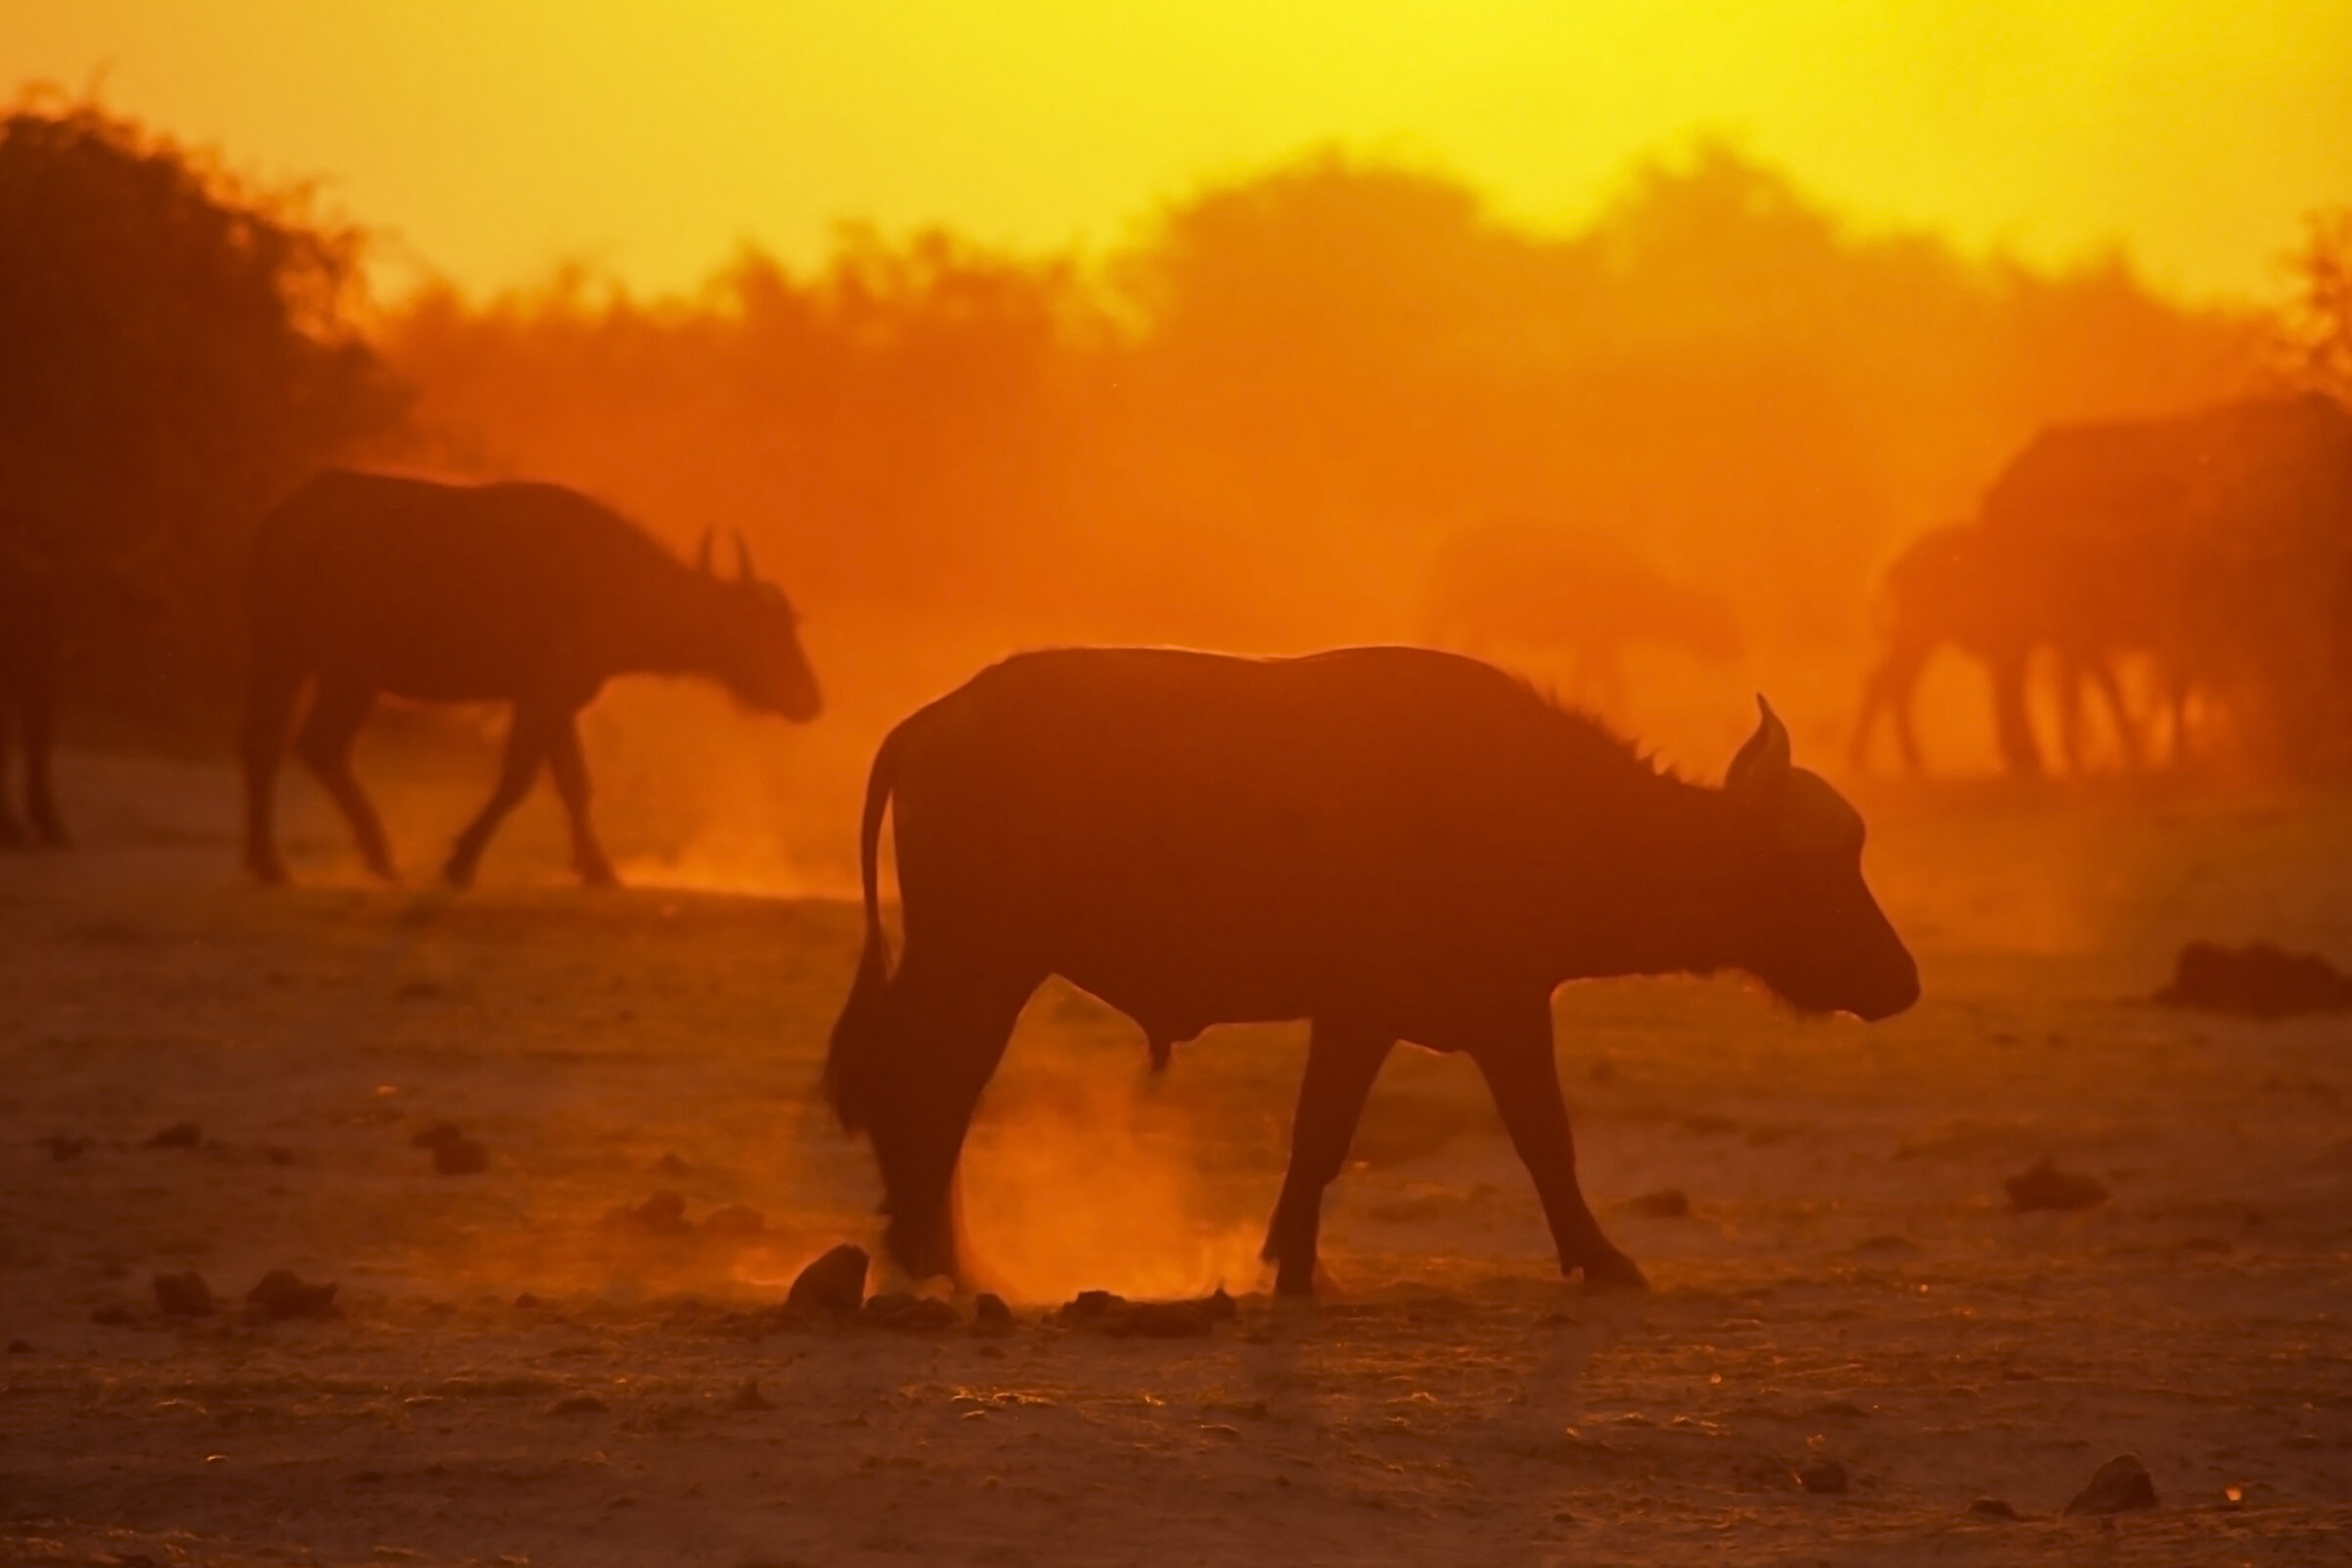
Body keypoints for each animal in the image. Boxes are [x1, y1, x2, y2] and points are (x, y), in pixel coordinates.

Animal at [241, 469, 820, 887]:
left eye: (791, 624)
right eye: (762, 628)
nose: (811, 698)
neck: (610, 583)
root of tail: (279, 520)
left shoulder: (560, 702)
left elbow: (574, 784)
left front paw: (598, 869)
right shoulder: (539, 695)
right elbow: (519, 780)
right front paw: (460, 861)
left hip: (292, 659)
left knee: (274, 745)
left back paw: (280, 861)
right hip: (343, 672)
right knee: (313, 745)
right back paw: (350, 856)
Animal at [825, 646, 1918, 1295]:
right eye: (1821, 865)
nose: (1903, 980)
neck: (1551, 813)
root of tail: (934, 718)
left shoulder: (1363, 1018)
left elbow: (1321, 1138)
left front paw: (1292, 1261)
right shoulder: (1495, 1011)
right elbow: (1544, 1139)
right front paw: (1606, 1260)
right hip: (979, 965)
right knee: (927, 1087)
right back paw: (944, 1259)